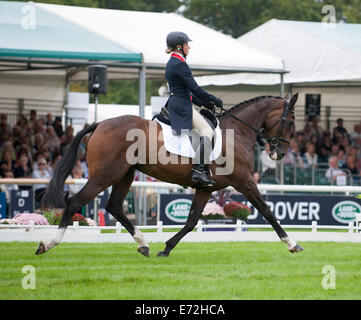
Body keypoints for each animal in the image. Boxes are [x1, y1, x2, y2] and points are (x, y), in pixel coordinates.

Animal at [36, 92, 302, 255]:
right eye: (290, 122)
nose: (280, 153)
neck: (236, 132)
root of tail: (100, 124)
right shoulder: (244, 181)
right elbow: (267, 211)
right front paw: (292, 243)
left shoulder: (206, 188)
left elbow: (192, 220)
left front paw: (166, 248)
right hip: (104, 176)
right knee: (75, 202)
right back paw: (48, 244)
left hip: (125, 175)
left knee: (114, 207)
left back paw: (143, 244)